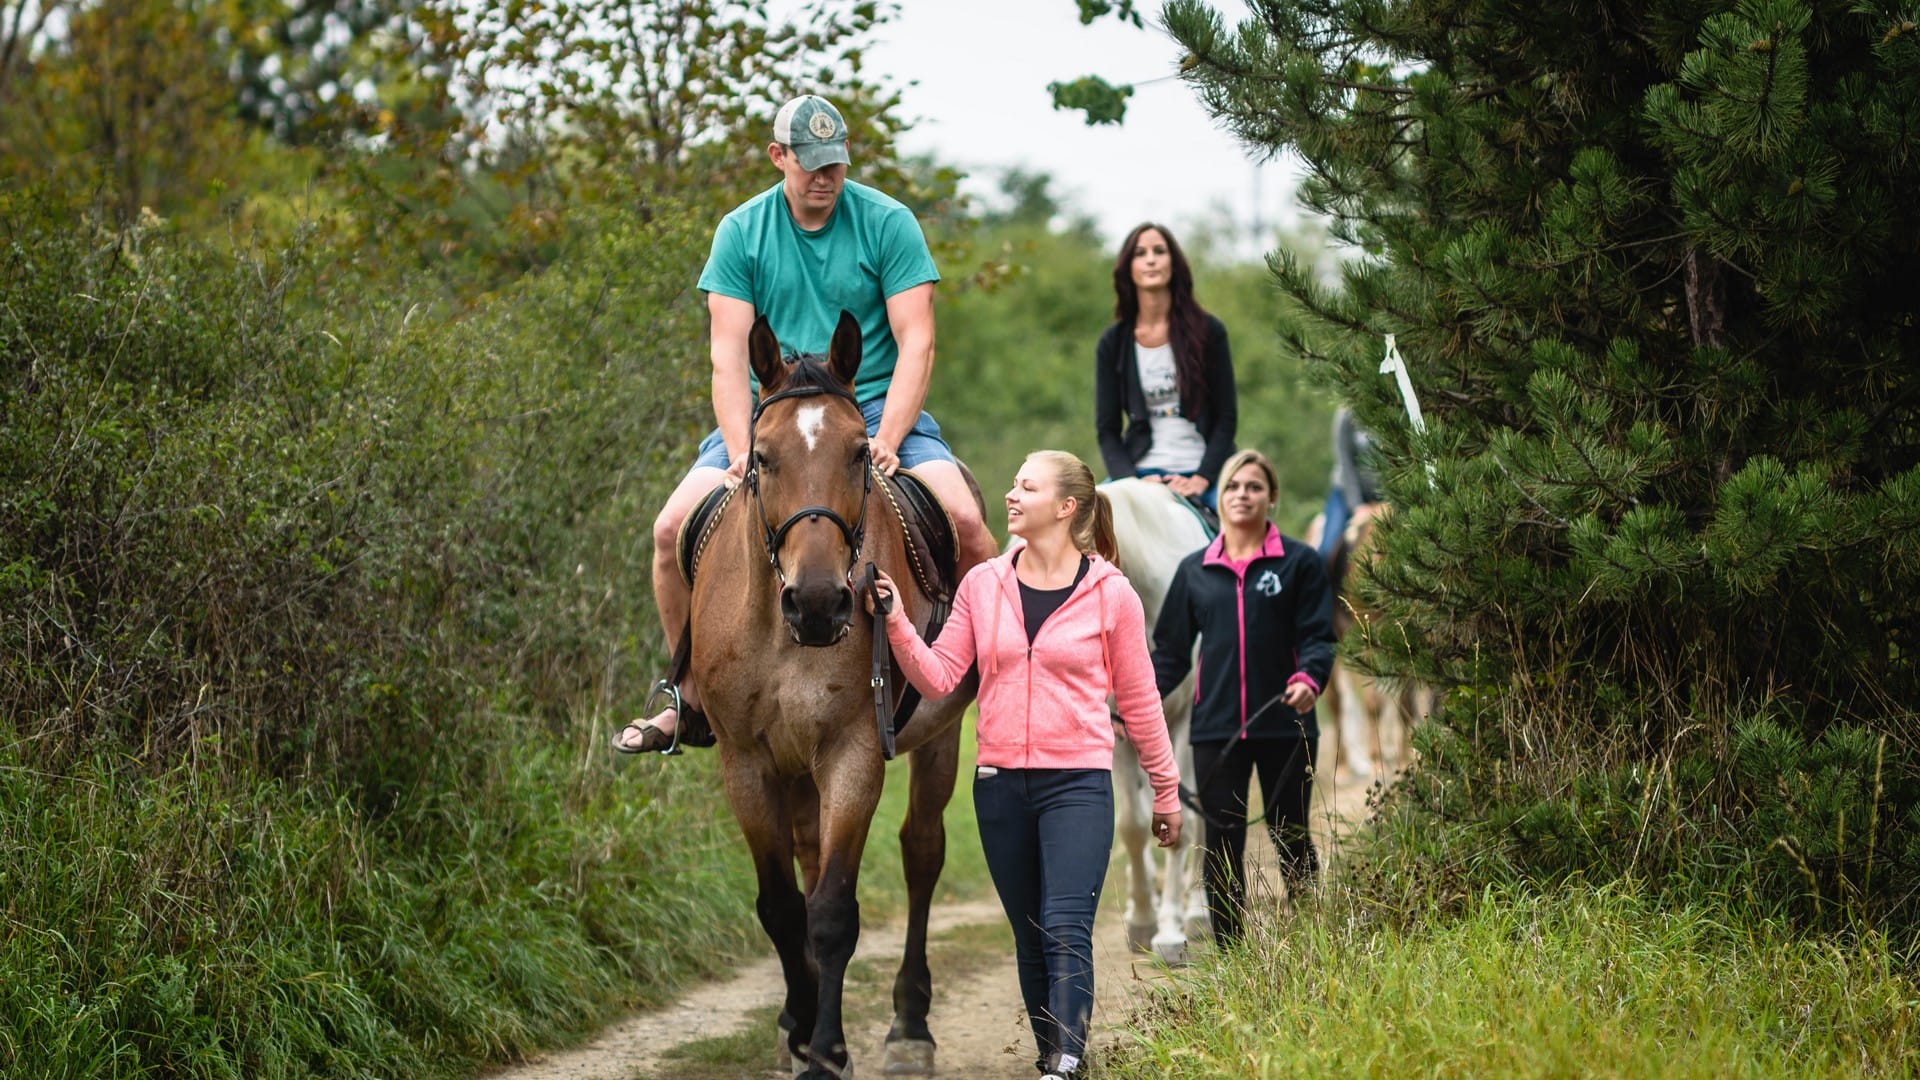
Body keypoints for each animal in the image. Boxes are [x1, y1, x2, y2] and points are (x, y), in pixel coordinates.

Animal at [686, 312, 983, 1079]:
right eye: (761, 458)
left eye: (857, 454)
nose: (819, 603)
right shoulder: (747, 765)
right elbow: (782, 905)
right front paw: (798, 1030)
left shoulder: (854, 755)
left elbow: (831, 912)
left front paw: (827, 1050)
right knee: (809, 858)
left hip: (937, 738)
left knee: (921, 852)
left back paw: (910, 1027)